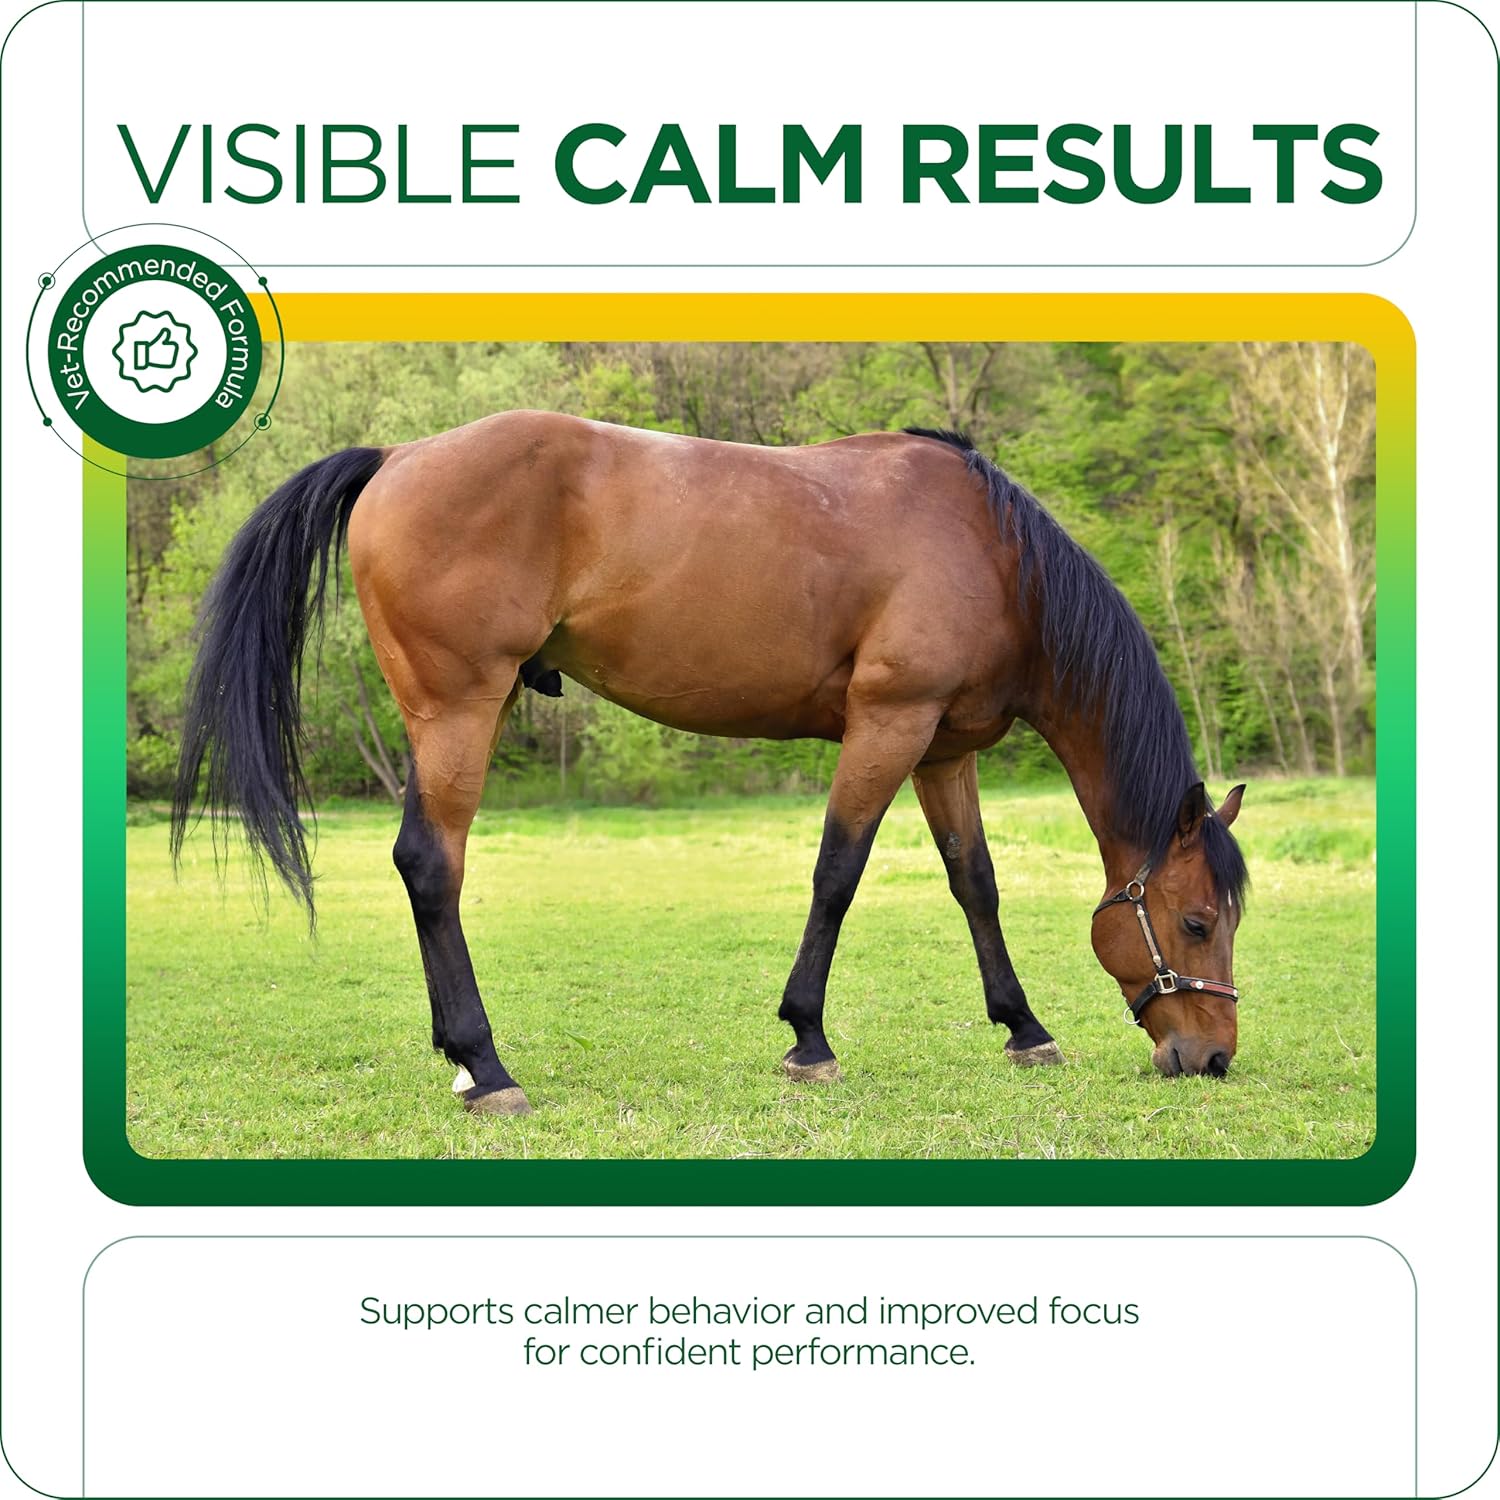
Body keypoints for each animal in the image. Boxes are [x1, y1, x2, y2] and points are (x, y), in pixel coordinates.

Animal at [171, 414, 1249, 1116]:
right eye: (1196, 921)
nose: (1211, 1057)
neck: (990, 552)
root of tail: (399, 456)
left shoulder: (942, 748)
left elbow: (972, 882)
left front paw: (1023, 1028)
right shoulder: (888, 723)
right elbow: (837, 872)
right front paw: (808, 1039)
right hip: (461, 708)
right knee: (433, 865)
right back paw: (487, 1067)